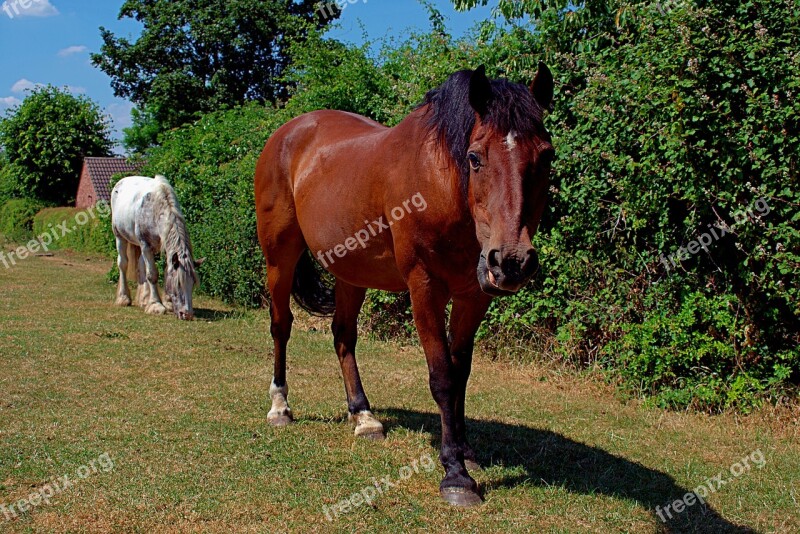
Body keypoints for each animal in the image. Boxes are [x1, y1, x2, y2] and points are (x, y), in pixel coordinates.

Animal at [111, 176, 202, 320]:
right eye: (179, 284)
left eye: (192, 283)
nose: (187, 314)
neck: (157, 210)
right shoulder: (146, 245)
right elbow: (152, 274)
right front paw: (156, 305)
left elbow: (165, 271)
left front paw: (168, 303)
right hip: (120, 236)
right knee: (123, 264)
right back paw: (123, 298)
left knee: (141, 265)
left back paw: (144, 299)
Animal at [253, 65, 552, 508]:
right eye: (475, 157)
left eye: (546, 156)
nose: (512, 262)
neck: (442, 184)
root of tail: (286, 133)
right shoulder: (424, 288)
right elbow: (442, 377)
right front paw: (456, 475)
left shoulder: (473, 295)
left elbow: (461, 374)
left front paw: (465, 451)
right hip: (280, 258)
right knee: (281, 326)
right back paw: (279, 408)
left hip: (351, 272)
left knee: (343, 336)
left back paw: (363, 417)